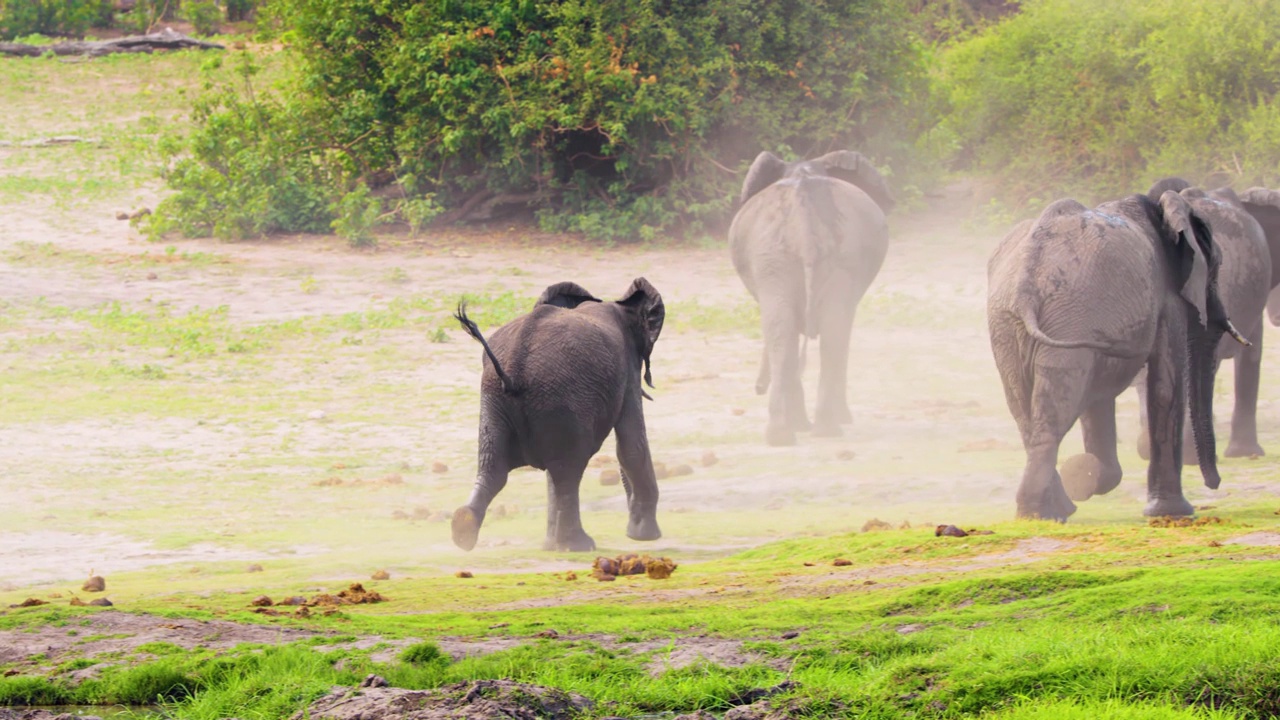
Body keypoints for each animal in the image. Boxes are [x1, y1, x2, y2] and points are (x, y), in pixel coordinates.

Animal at [450, 278, 665, 550]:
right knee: (568, 472)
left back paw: (464, 529)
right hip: (559, 396)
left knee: (494, 468)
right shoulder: (628, 367)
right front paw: (644, 536)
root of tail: (515, 366)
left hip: (500, 399)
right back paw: (580, 545)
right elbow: (631, 445)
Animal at [983, 188, 1244, 517]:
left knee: (1025, 409)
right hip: (1068, 316)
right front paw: (1172, 512)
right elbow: (1164, 387)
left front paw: (1090, 476)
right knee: (1054, 410)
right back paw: (1043, 511)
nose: (1215, 483)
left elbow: (1099, 397)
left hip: (1010, 325)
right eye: (1217, 266)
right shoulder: (1166, 297)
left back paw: (1056, 509)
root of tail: (1026, 282)